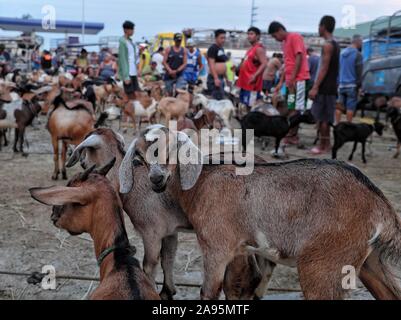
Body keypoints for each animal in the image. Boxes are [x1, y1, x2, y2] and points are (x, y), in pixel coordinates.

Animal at [119, 125, 401, 300]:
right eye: (139, 157)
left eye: (171, 147)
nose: (156, 179)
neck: (201, 181)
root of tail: (379, 203)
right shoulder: (239, 249)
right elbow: (236, 286)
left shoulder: (216, 246)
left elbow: (209, 292)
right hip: (367, 260)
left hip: (324, 264)